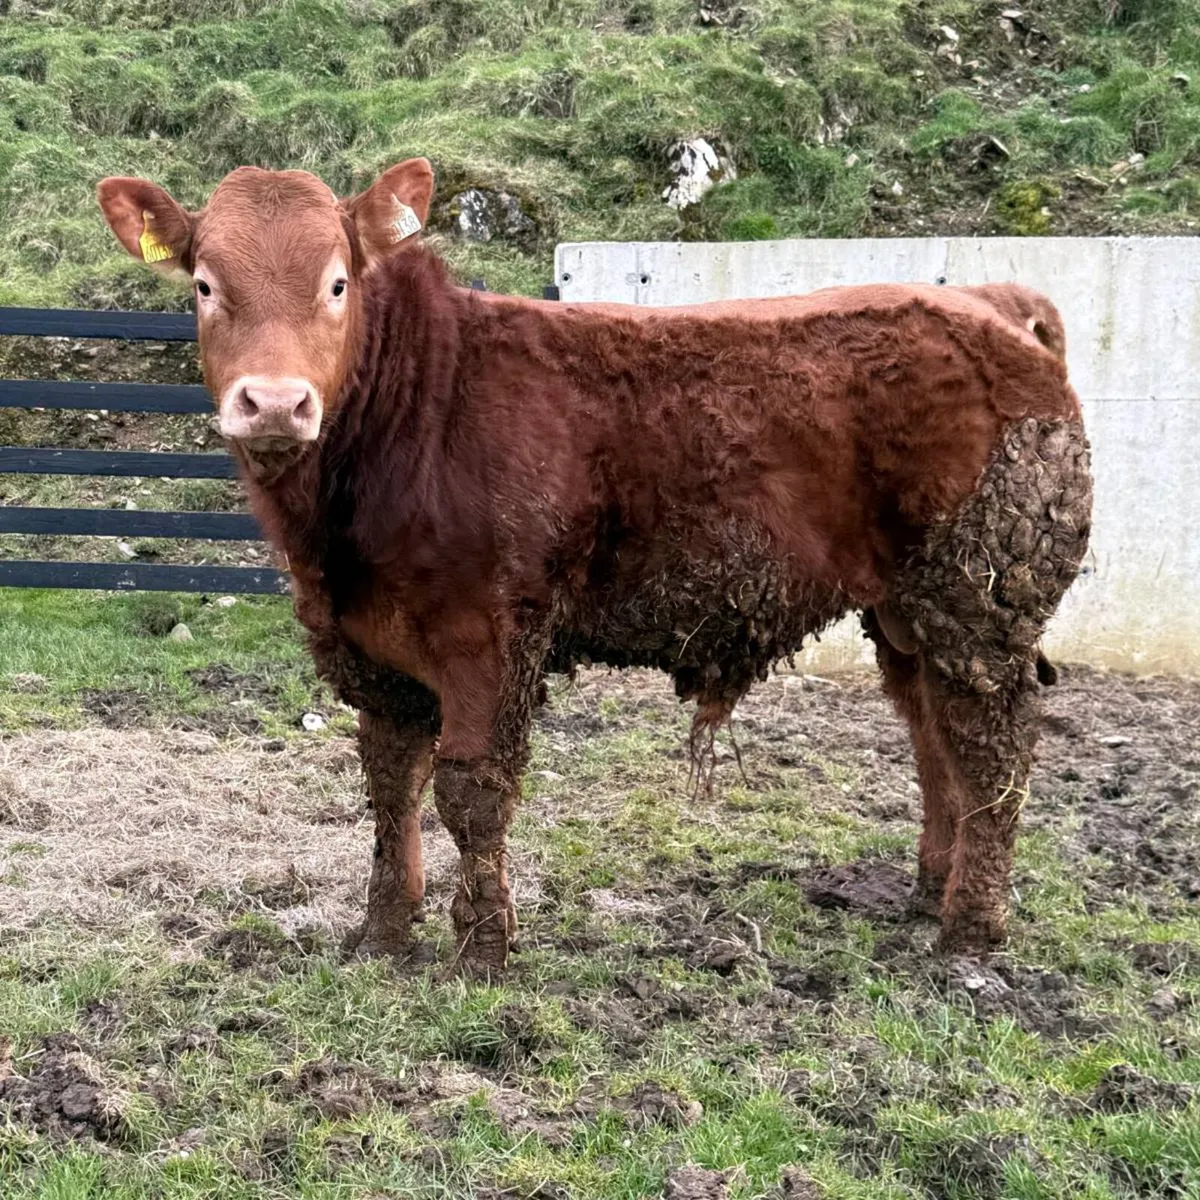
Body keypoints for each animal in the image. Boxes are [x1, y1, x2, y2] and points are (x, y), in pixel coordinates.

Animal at [98, 159, 1093, 972]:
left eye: (337, 282)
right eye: (204, 284)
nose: (274, 403)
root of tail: (990, 302)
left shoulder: (490, 632)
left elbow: (470, 789)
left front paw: (481, 951)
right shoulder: (371, 646)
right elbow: (389, 786)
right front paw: (382, 935)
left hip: (976, 595)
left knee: (992, 745)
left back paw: (970, 932)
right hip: (904, 610)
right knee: (934, 736)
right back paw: (928, 897)